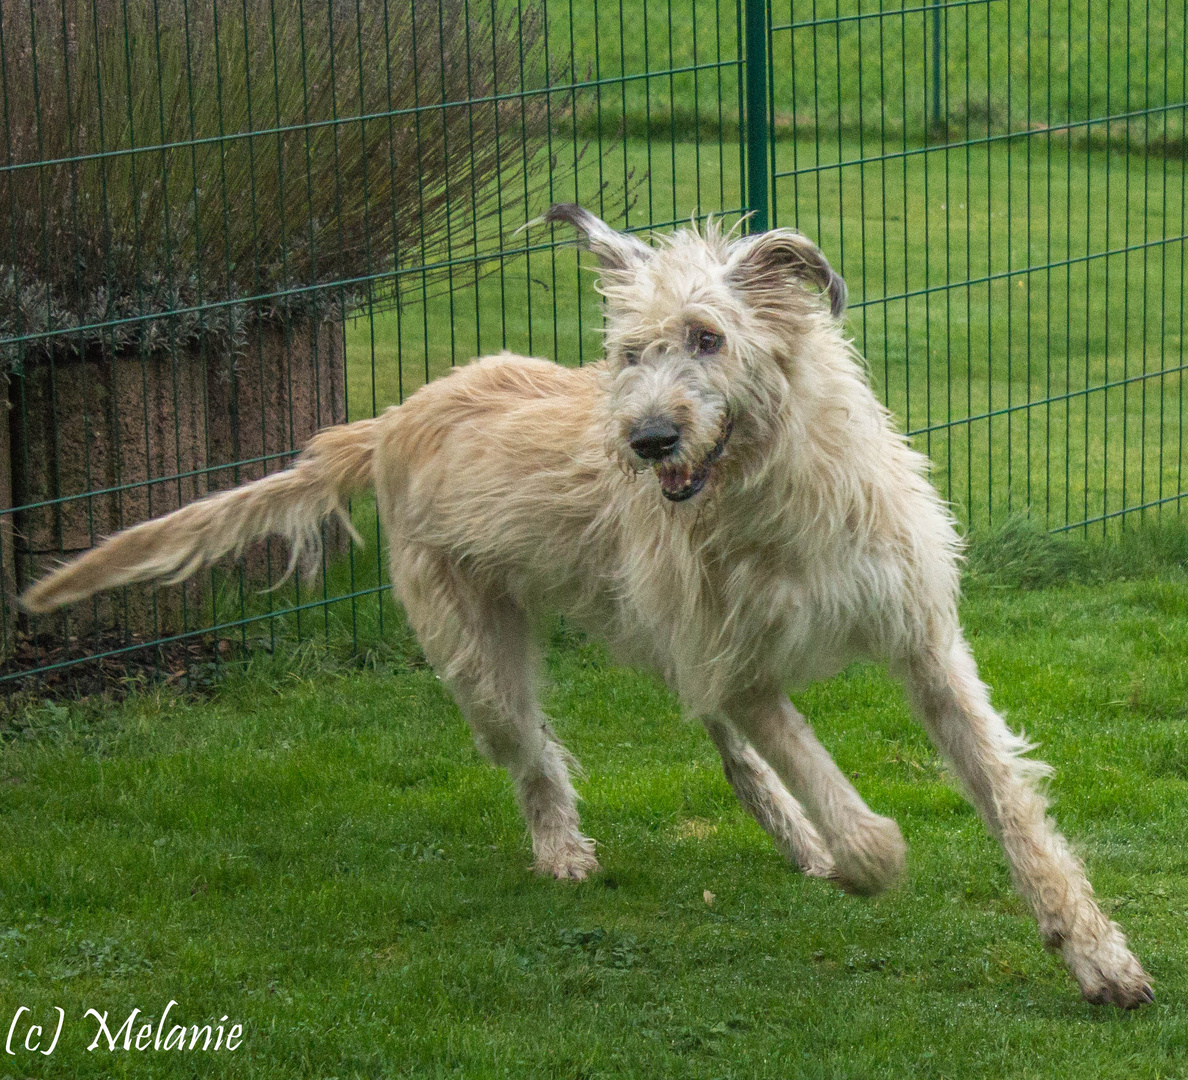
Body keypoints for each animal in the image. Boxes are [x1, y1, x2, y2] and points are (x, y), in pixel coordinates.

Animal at [16, 206, 1149, 1007]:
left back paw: (787, 833)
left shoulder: (919, 639)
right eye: (629, 355)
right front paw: (867, 854)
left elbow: (1011, 804)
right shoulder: (741, 659)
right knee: (540, 759)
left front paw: (1094, 953)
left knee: (720, 742)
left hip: (641, 620)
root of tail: (390, 418)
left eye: (707, 337)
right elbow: (837, 797)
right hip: (483, 658)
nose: (645, 441)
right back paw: (569, 848)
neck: (771, 493)